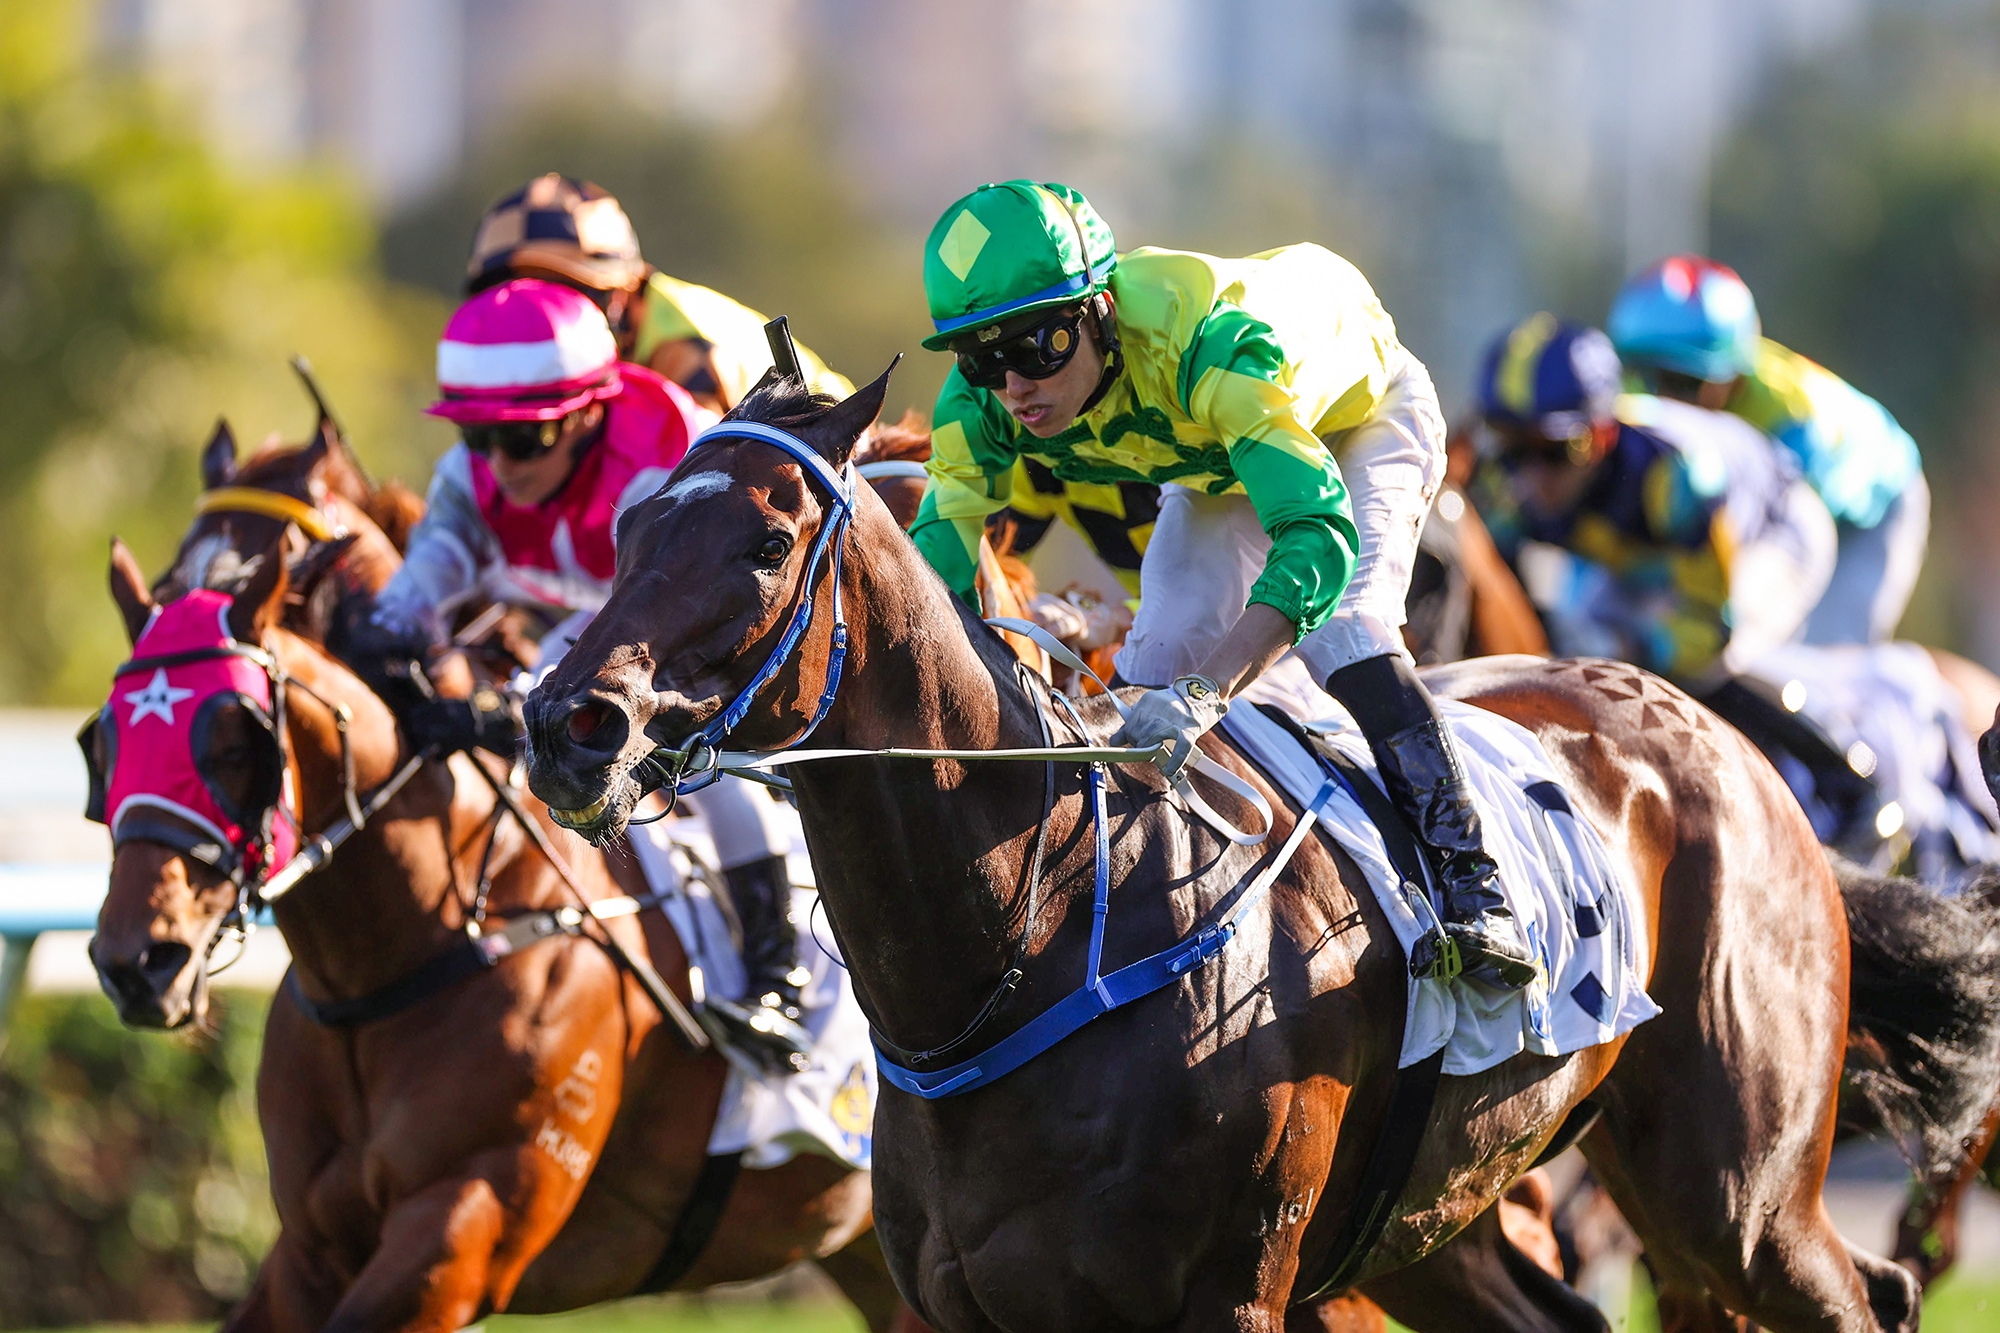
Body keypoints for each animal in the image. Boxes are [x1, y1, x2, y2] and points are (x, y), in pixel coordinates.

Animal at [85, 426, 926, 1332]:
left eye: (235, 737)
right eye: (103, 738)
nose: (137, 961)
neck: (397, 964)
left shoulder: (459, 1237)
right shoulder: (311, 1247)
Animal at [524, 368, 2000, 1332]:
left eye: (768, 537)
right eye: (633, 523)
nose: (563, 721)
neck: (1038, 929)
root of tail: (1728, 749)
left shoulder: (1228, 1294)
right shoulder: (956, 1303)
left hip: (1735, 1189)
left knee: (1860, 1288)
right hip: (1441, 1219)